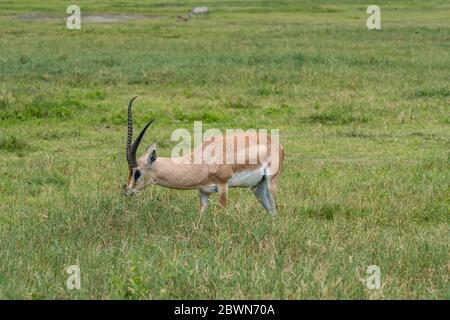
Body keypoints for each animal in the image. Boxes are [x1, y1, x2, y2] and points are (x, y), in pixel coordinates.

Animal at [123, 96, 284, 214]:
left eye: (137, 172)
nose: (126, 190)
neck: (200, 162)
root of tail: (278, 145)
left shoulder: (223, 187)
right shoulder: (203, 192)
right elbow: (200, 215)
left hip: (270, 183)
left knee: (275, 209)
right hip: (257, 187)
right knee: (270, 210)